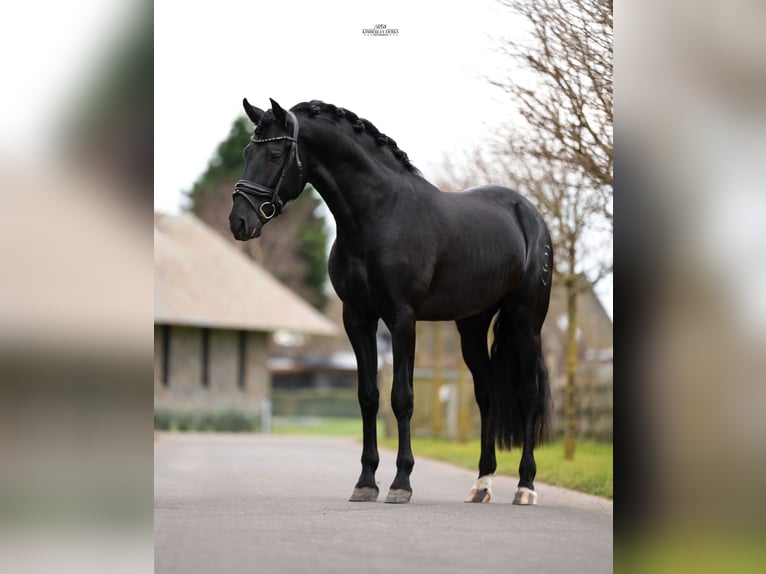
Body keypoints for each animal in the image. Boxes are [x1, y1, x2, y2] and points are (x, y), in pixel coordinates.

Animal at [229, 98, 553, 505]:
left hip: (527, 321)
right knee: (486, 393)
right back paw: (482, 484)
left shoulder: (402, 319)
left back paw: (525, 486)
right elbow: (369, 396)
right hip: (473, 326)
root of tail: (529, 213)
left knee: (528, 393)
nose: (239, 222)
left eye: (274, 154)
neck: (379, 216)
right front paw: (366, 482)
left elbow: (402, 397)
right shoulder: (358, 318)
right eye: (246, 152)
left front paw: (401, 482)